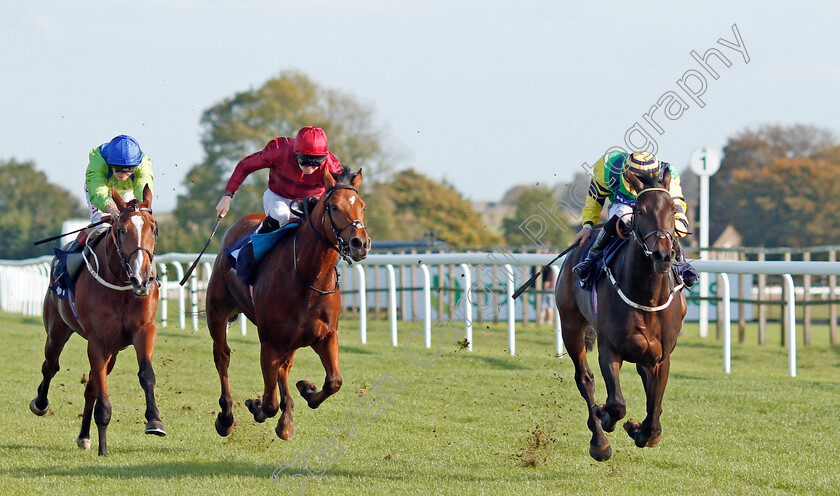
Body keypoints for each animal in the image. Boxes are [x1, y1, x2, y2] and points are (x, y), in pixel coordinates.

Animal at [30, 184, 164, 456]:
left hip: (113, 351)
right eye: (121, 230)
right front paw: (103, 446)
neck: (122, 285)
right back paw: (40, 403)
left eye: (154, 229)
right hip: (57, 330)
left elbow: (146, 374)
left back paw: (84, 436)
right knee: (51, 366)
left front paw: (154, 420)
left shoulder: (143, 331)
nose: (142, 279)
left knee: (90, 386)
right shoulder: (98, 342)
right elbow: (102, 395)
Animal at [205, 169, 370, 440]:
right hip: (217, 311)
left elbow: (334, 381)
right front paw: (258, 406)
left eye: (363, 206)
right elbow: (270, 401)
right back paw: (226, 417)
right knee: (222, 356)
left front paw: (306, 390)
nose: (361, 243)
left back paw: (287, 418)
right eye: (334, 207)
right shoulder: (270, 340)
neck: (309, 278)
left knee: (284, 367)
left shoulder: (325, 335)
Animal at [556, 170, 684, 462]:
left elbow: (654, 414)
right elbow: (616, 404)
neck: (646, 297)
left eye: (673, 210)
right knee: (585, 379)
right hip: (570, 326)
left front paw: (640, 430)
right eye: (640, 210)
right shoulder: (609, 349)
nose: (663, 254)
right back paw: (599, 441)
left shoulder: (661, 357)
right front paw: (605, 417)